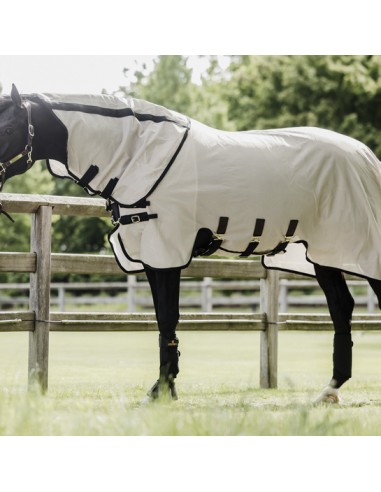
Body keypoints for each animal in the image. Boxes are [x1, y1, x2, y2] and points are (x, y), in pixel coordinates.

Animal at [0, 81, 380, 404]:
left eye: (8, 129)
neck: (140, 151)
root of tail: (367, 157)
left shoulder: (166, 249)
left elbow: (168, 317)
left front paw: (163, 391)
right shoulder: (150, 252)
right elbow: (161, 319)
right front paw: (163, 388)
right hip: (323, 254)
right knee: (341, 307)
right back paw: (330, 390)